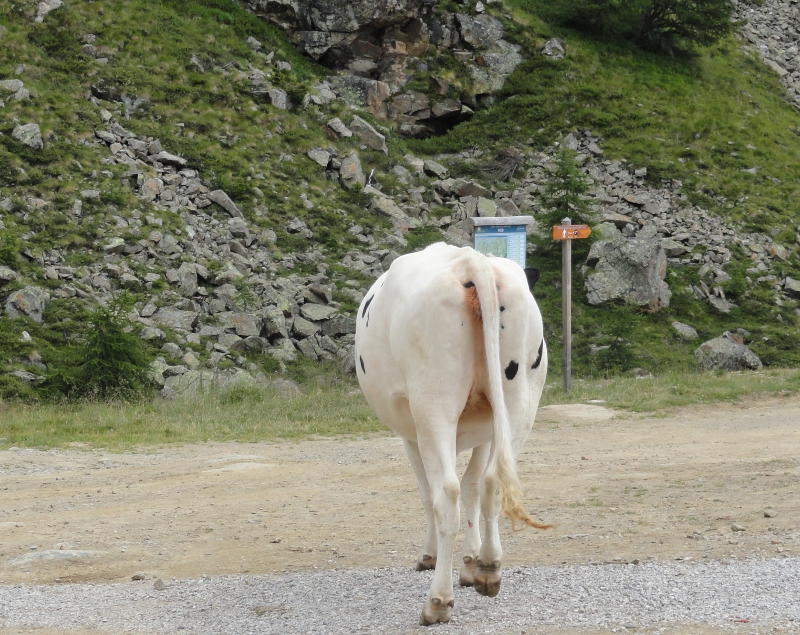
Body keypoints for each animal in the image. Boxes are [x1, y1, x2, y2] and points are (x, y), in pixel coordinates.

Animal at [356, 242, 552, 628]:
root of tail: (470, 260)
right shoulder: (487, 430)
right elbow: (476, 484)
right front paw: (472, 562)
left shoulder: (411, 434)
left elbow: (428, 493)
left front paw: (430, 556)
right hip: (519, 404)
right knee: (493, 482)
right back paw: (490, 568)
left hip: (434, 406)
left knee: (446, 493)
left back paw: (437, 601)